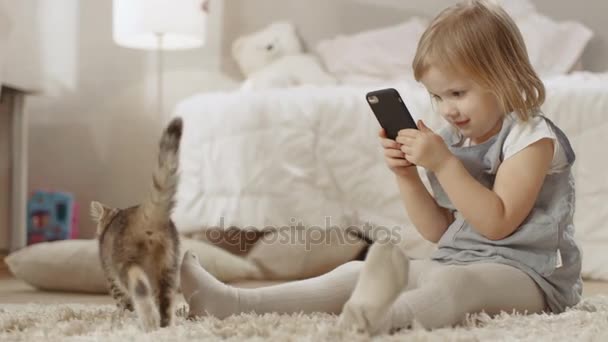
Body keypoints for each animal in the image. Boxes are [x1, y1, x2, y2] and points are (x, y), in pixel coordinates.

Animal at [89, 118, 182, 332]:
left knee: (140, 289)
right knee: (166, 303)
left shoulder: (111, 277)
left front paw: (122, 315)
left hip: (126, 264)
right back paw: (166, 328)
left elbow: (121, 301)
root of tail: (145, 215)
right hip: (169, 269)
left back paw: (148, 323)